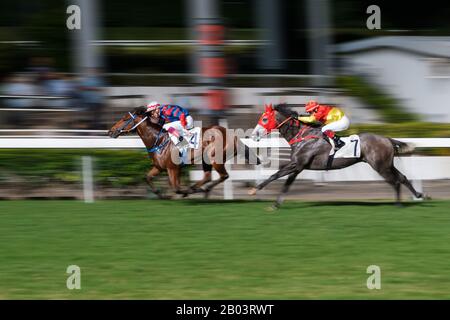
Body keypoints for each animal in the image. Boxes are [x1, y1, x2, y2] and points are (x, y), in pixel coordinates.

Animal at [109, 106, 255, 199]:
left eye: (124, 118)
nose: (110, 131)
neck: (158, 140)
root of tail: (233, 135)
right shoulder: (159, 167)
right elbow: (147, 177)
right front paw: (161, 194)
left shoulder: (173, 168)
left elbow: (176, 187)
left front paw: (183, 192)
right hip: (206, 160)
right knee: (208, 176)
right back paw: (198, 188)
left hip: (215, 158)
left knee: (224, 176)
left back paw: (202, 189)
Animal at [248, 102, 424, 208]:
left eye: (264, 119)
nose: (253, 135)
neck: (302, 135)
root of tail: (387, 139)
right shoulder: (298, 167)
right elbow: (286, 184)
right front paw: (274, 203)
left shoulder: (297, 164)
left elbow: (276, 175)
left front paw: (256, 190)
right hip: (387, 164)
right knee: (402, 177)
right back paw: (418, 195)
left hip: (380, 166)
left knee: (395, 181)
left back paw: (398, 204)